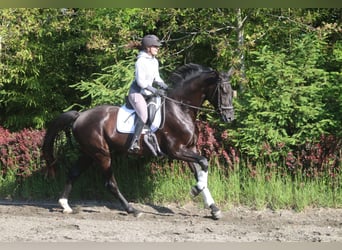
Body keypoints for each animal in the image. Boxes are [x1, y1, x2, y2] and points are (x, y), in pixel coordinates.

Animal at [42, 63, 234, 220]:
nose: (229, 117)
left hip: (89, 153)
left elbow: (200, 170)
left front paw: (214, 208)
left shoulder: (189, 148)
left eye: (232, 91)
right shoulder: (176, 150)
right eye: (223, 91)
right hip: (102, 154)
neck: (181, 108)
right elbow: (204, 162)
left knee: (74, 173)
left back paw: (65, 205)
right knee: (110, 183)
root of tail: (80, 116)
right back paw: (132, 210)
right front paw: (196, 189)